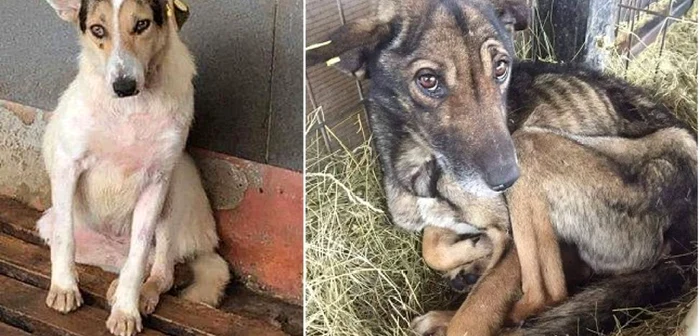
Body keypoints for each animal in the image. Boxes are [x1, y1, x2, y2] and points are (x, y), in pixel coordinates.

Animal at [37, 1, 230, 334]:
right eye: (97, 30)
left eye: (141, 25)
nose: (123, 86)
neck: (129, 110)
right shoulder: (67, 165)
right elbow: (65, 238)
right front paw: (64, 287)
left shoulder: (156, 180)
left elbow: (137, 258)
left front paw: (126, 311)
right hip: (51, 224)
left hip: (176, 184)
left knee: (162, 270)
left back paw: (141, 293)